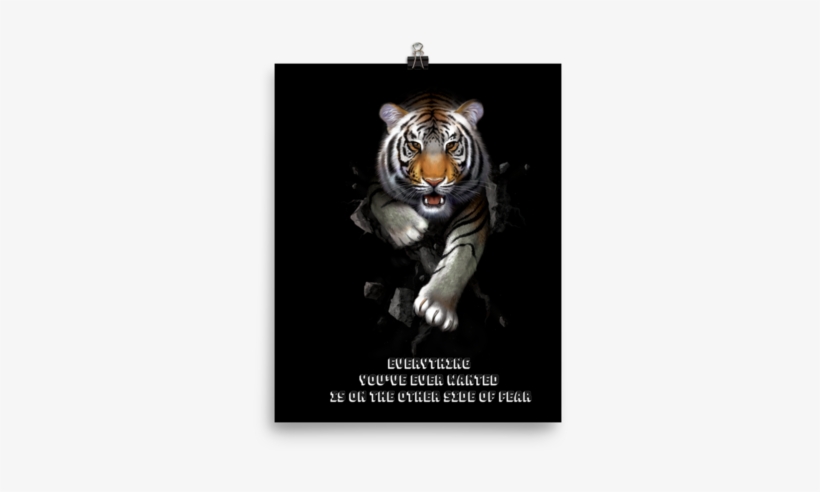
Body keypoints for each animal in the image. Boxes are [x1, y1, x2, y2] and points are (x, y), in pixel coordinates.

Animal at [367, 92, 493, 333]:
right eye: (414, 145)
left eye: (451, 145)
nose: (434, 181)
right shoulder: (376, 179)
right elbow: (379, 198)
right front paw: (409, 229)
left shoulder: (474, 206)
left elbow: (462, 253)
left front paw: (437, 306)